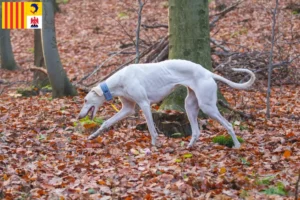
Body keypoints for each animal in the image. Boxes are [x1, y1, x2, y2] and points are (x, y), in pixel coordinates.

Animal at [78, 59, 255, 148]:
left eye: (86, 100)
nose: (79, 116)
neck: (120, 81)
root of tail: (207, 72)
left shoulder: (144, 104)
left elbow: (151, 128)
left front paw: (155, 144)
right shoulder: (127, 108)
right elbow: (106, 123)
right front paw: (93, 135)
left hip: (207, 107)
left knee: (229, 125)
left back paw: (237, 145)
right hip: (190, 106)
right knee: (197, 131)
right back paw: (189, 146)